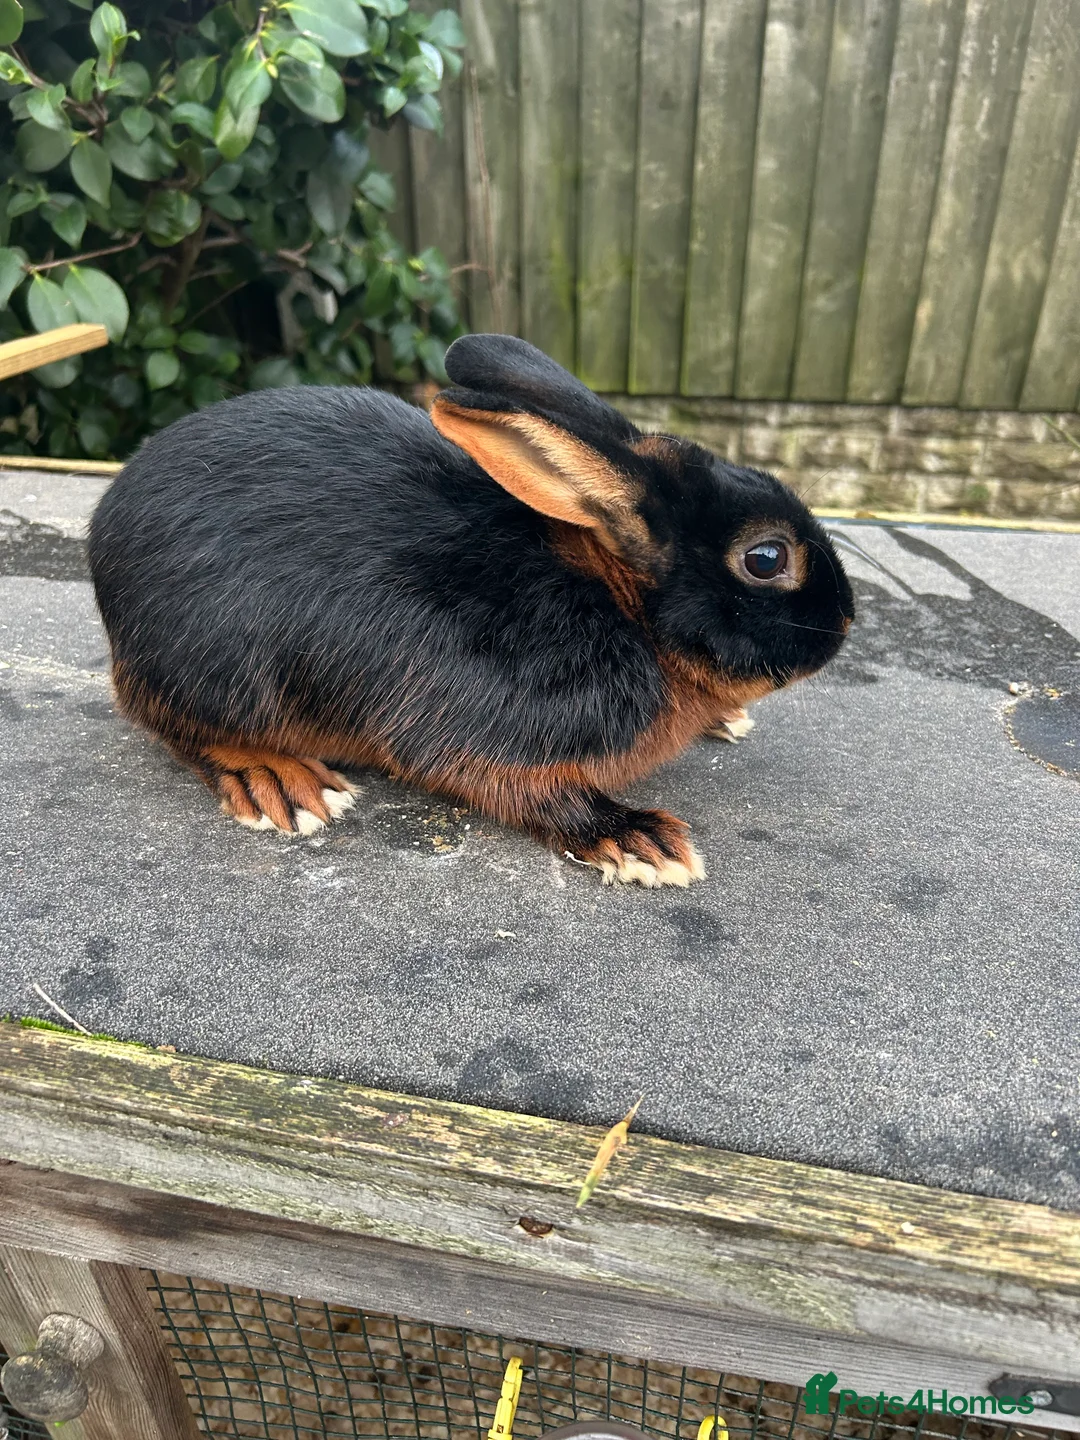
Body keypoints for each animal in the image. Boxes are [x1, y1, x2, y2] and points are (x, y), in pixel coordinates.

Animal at [88, 334, 853, 887]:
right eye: (766, 558)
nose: (844, 622)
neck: (621, 605)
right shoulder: (486, 732)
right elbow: (522, 791)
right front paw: (638, 838)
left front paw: (726, 720)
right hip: (212, 671)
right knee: (170, 722)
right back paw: (281, 781)